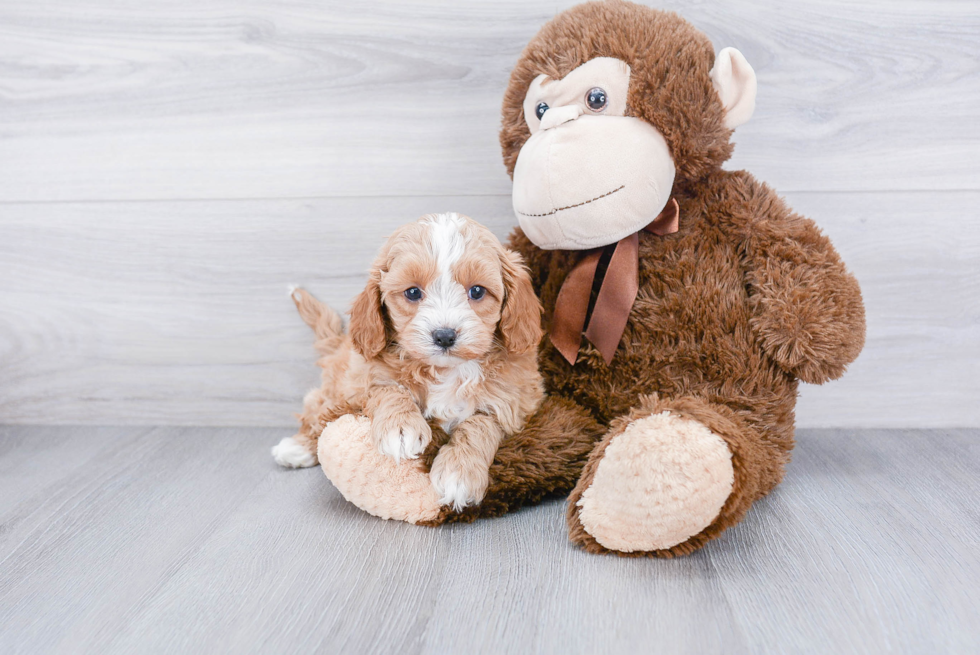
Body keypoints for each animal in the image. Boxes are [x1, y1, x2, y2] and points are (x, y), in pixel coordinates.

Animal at [272, 213, 544, 510]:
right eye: (413, 293)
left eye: (477, 291)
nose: (444, 336)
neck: (445, 371)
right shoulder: (364, 378)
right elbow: (389, 390)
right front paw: (400, 428)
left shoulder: (515, 402)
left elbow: (479, 424)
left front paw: (459, 472)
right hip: (336, 390)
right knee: (317, 411)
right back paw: (298, 447)